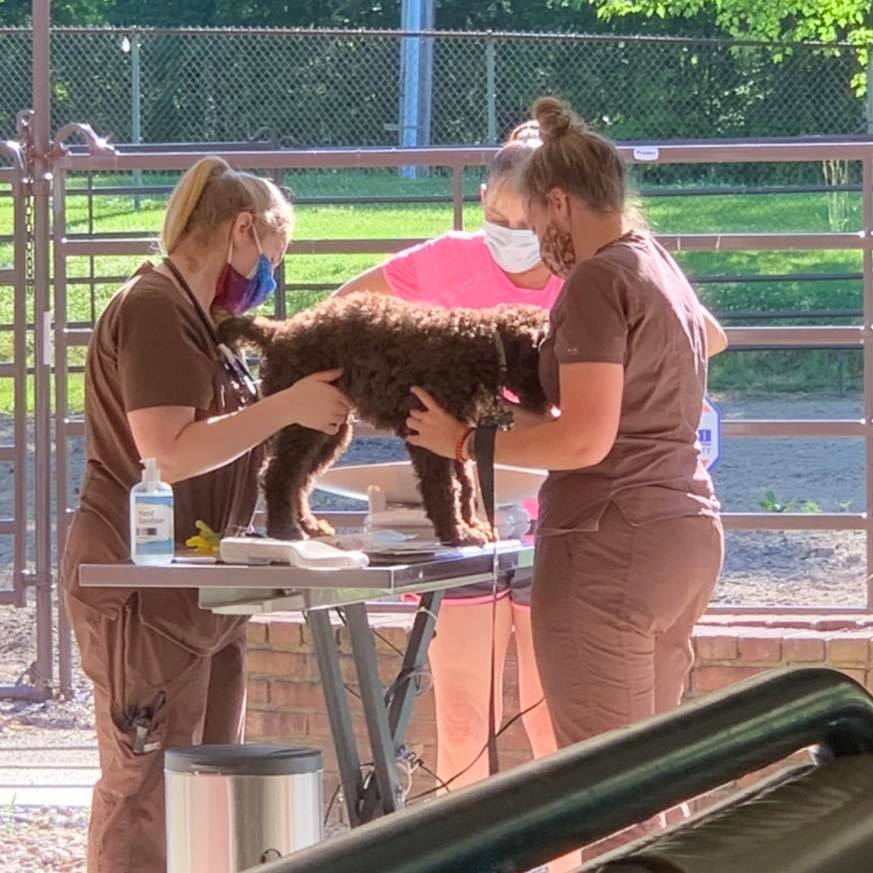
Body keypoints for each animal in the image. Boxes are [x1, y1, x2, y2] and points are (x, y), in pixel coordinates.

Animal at [219, 293, 549, 546]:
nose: (551, 408)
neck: (479, 344)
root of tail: (278, 332)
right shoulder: (425, 433)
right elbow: (444, 488)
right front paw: (456, 534)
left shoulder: (452, 430)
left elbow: (465, 484)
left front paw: (471, 525)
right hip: (303, 419)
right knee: (279, 474)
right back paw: (285, 531)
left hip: (329, 426)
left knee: (299, 478)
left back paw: (309, 526)